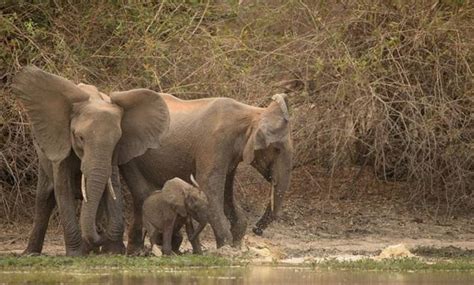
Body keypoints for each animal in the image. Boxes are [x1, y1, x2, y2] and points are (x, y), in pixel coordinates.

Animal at [10, 66, 170, 255]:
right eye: (80, 137)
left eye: (117, 140)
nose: (101, 232)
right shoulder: (61, 141)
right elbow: (62, 189)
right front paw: (76, 254)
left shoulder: (114, 153)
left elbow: (112, 185)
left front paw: (113, 251)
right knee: (44, 198)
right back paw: (31, 253)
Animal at [121, 91, 292, 253]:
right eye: (276, 149)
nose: (257, 230)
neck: (253, 112)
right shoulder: (215, 142)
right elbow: (208, 186)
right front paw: (226, 247)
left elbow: (226, 191)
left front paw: (235, 245)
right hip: (131, 152)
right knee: (141, 193)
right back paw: (139, 251)